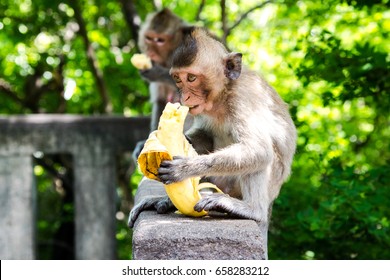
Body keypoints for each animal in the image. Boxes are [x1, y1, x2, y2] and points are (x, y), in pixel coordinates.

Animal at [128, 27, 296, 255]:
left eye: (191, 78)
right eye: (178, 79)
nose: (185, 97)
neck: (221, 97)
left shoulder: (244, 97)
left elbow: (257, 149)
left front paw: (184, 168)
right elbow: (203, 136)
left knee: (260, 157)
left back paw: (250, 210)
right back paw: (166, 201)